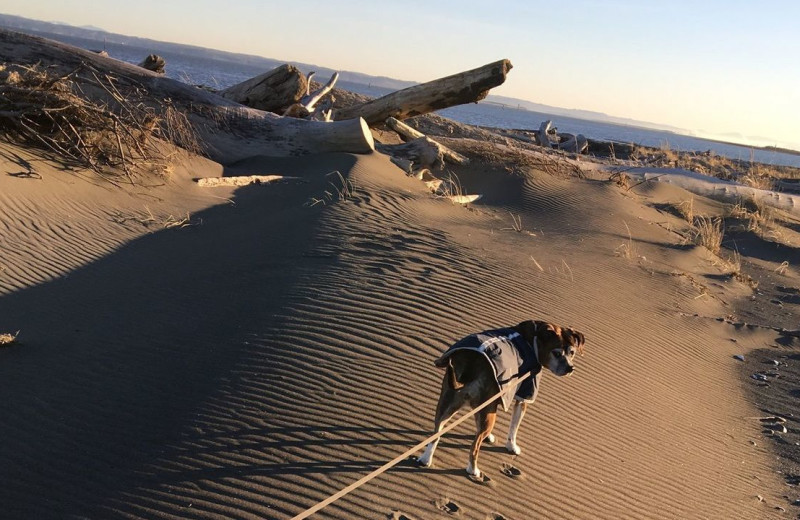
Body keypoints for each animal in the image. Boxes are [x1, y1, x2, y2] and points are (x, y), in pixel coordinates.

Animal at [418, 320, 580, 480]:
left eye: (572, 353)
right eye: (556, 353)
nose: (570, 368)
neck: (533, 341)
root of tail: (472, 364)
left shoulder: (490, 404)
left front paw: (489, 437)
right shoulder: (524, 395)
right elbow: (514, 428)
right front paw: (512, 447)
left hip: (448, 404)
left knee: (436, 434)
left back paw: (426, 459)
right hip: (486, 413)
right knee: (474, 447)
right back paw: (473, 470)